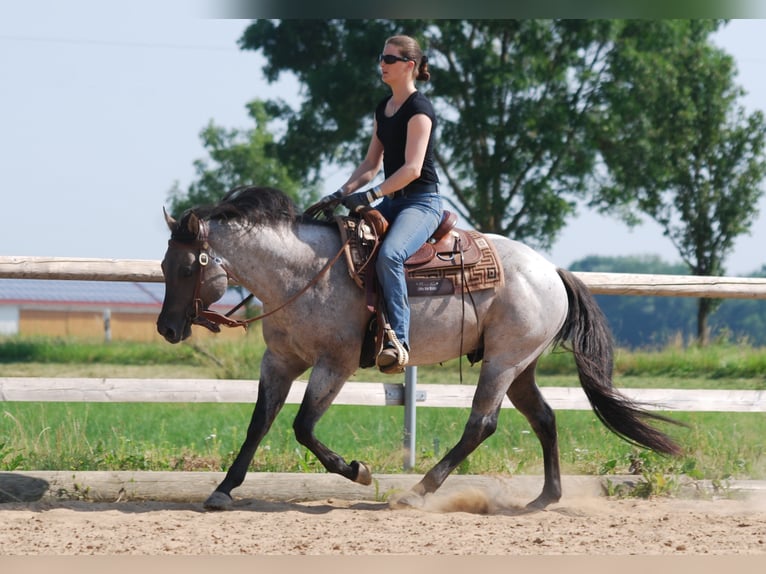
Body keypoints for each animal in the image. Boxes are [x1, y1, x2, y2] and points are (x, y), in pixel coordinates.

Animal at [157, 185, 682, 511]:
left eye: (184, 267)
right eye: (163, 265)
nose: (165, 328)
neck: (303, 273)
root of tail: (552, 270)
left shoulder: (335, 364)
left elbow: (303, 427)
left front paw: (358, 471)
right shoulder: (281, 361)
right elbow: (258, 424)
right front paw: (223, 490)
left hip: (502, 362)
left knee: (481, 424)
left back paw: (418, 490)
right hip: (520, 366)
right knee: (545, 418)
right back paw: (544, 498)